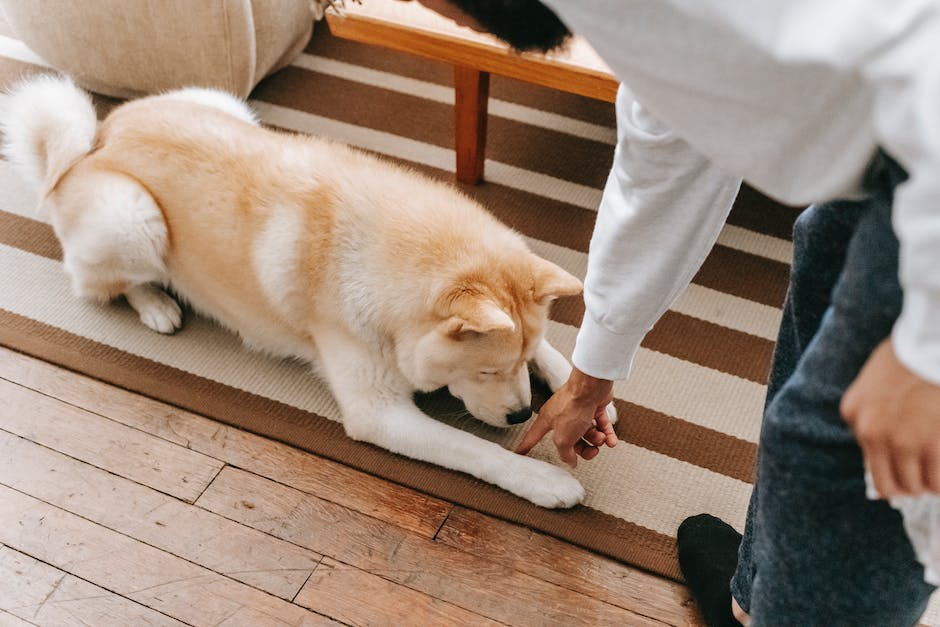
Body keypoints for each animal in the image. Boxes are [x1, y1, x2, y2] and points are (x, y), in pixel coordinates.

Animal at [0, 76, 612, 510]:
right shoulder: (377, 412)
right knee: (98, 283)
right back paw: (156, 304)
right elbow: (475, 451)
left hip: (225, 106)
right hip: (130, 218)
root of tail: (96, 141)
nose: (521, 414)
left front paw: (586, 394)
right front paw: (542, 479)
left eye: (518, 363)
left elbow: (559, 350)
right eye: (487, 371)